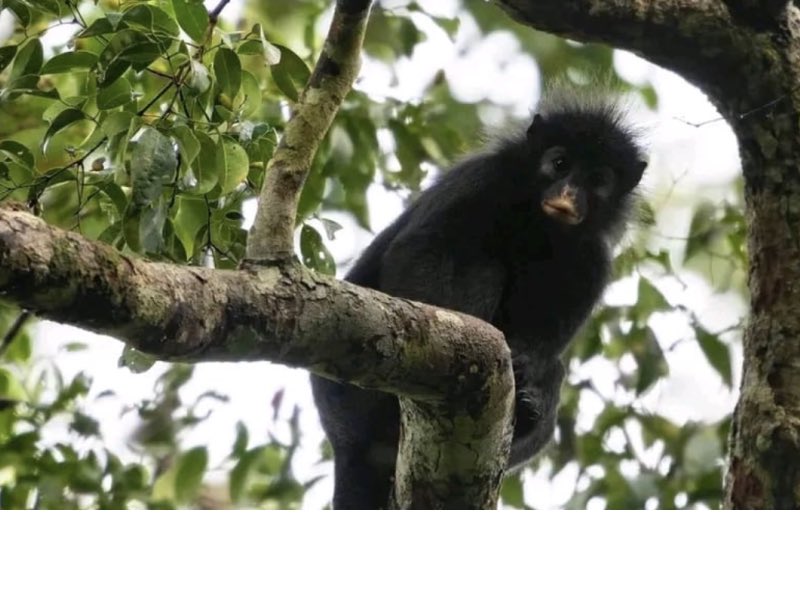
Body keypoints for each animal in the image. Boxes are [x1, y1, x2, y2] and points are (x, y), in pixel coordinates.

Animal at [310, 89, 648, 509]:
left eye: (598, 180)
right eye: (559, 164)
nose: (569, 194)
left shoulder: (593, 256)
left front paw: (527, 369)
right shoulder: (480, 179)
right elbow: (421, 252)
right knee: (480, 264)